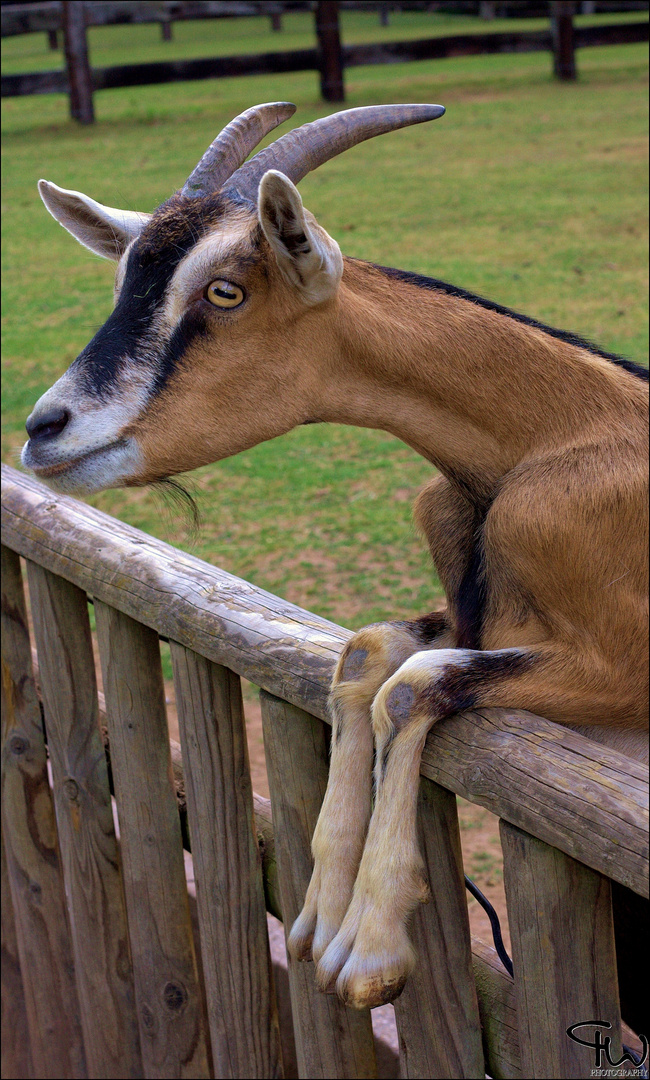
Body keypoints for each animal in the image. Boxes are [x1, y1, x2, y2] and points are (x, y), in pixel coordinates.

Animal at [22, 103, 643, 1019]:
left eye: (225, 290)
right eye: (127, 282)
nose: (43, 429)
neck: (563, 435)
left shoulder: (625, 672)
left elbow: (416, 683)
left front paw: (368, 947)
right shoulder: (472, 614)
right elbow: (367, 655)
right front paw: (318, 914)